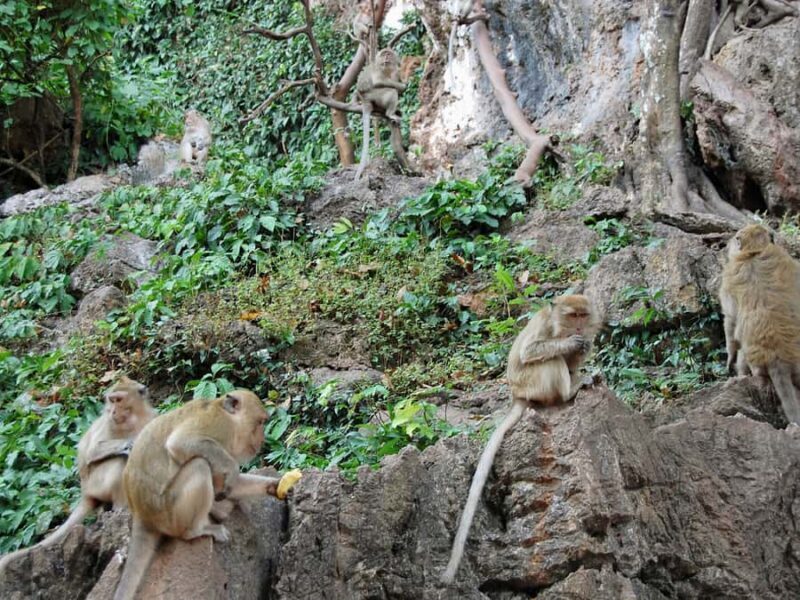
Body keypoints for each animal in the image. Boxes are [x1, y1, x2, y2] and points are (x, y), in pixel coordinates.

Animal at [0, 376, 155, 574]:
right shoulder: (108, 423)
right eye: (111, 400)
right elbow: (92, 451)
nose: (112, 411)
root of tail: (85, 492)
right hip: (96, 484)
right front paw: (130, 443)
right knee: (120, 461)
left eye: (118, 400)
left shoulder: (151, 418)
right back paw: (121, 508)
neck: (132, 418)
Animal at [113, 389, 302, 600]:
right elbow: (180, 443)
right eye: (260, 422)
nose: (262, 439)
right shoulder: (218, 426)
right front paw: (233, 469)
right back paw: (199, 529)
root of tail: (141, 513)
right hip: (169, 513)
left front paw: (276, 485)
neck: (227, 416)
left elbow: (233, 485)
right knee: (200, 465)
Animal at [354, 47, 410, 180]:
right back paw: (390, 113)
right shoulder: (378, 69)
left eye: (388, 54)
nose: (386, 57)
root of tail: (364, 98)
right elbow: (379, 81)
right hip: (374, 95)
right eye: (384, 54)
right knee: (391, 91)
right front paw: (402, 86)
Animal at [441, 294, 601, 584]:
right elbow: (531, 351)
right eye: (573, 316)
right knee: (549, 361)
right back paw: (569, 392)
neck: (558, 325)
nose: (579, 327)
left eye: (583, 315)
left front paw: (584, 347)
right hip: (532, 383)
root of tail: (517, 394)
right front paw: (572, 343)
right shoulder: (546, 329)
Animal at [719, 223, 800, 425]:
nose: (727, 244)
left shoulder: (728, 277)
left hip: (755, 360)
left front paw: (729, 356)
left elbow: (730, 318)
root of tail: (777, 357)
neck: (753, 252)